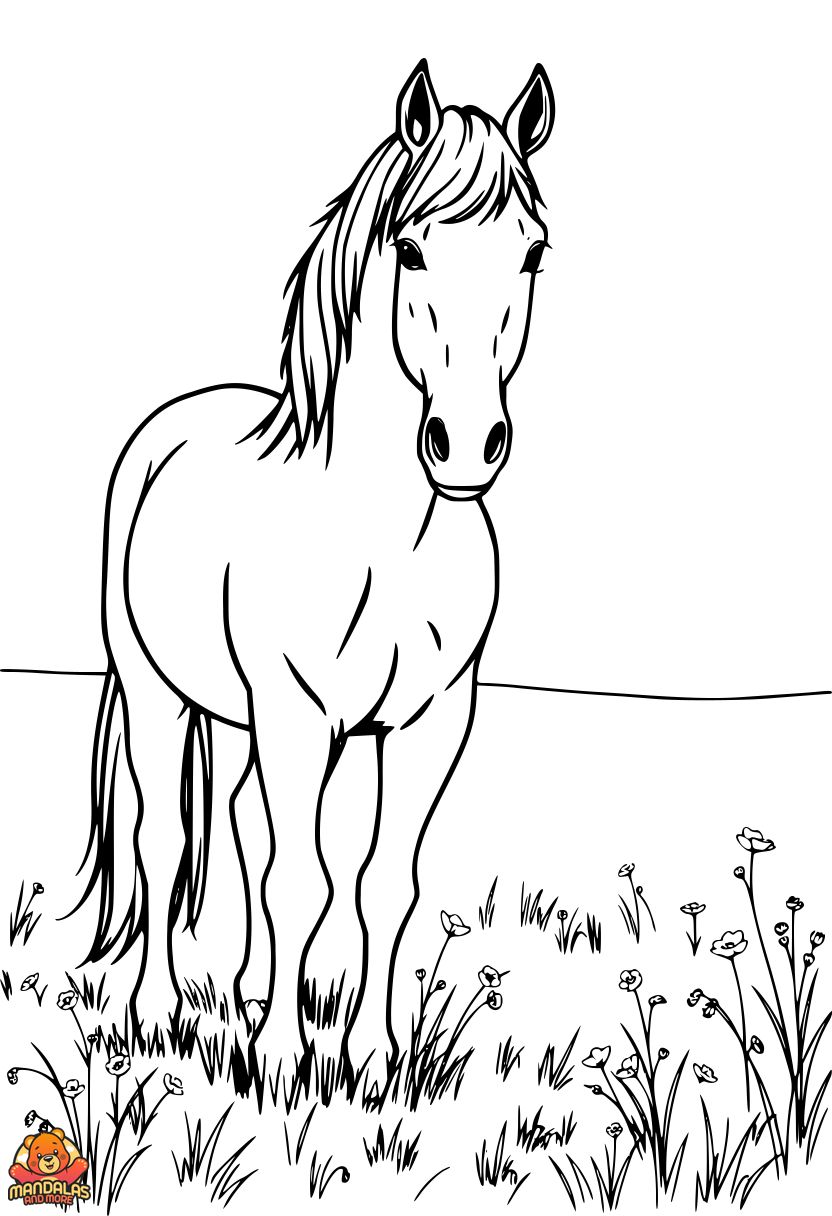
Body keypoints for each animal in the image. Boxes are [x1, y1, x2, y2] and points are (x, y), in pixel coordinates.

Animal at [77, 59, 555, 1091]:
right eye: (411, 250)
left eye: (534, 255)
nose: (467, 446)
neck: (385, 539)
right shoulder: (296, 713)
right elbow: (298, 875)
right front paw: (282, 1061)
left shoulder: (431, 720)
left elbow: (382, 882)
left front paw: (373, 1059)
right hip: (156, 690)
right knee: (165, 838)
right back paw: (160, 1011)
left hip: (232, 717)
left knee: (237, 825)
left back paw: (250, 989)